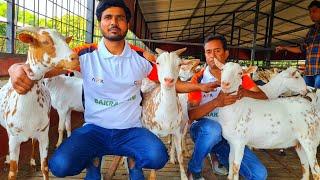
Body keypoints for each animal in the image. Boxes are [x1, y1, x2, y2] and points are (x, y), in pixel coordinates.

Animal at [0, 27, 79, 180]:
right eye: (45, 41)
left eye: (64, 39)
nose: (75, 58)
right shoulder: (14, 139)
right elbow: (12, 173)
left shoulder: (43, 135)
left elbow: (45, 167)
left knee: (32, 142)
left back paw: (31, 161)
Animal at [141, 47, 191, 180]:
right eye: (158, 63)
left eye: (179, 64)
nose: (168, 80)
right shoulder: (154, 131)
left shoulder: (177, 131)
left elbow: (180, 155)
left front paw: (184, 176)